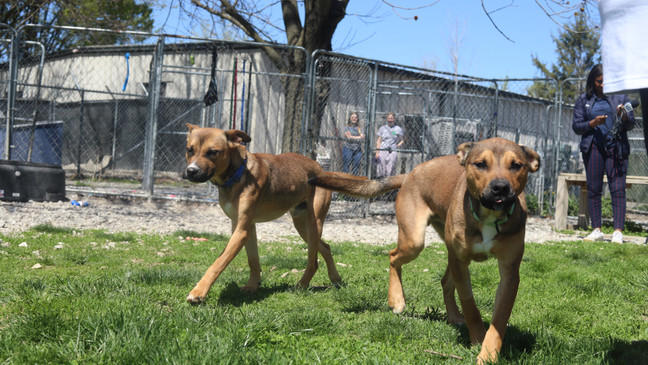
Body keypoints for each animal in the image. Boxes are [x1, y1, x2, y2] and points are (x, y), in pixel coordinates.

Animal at [182, 123, 364, 302]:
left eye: (213, 152)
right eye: (190, 150)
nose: (191, 171)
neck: (236, 174)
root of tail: (323, 171)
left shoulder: (241, 230)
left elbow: (218, 263)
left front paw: (198, 292)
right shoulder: (245, 227)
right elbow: (253, 260)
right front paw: (252, 286)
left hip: (314, 223)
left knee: (313, 262)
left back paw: (301, 285)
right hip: (301, 224)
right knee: (325, 247)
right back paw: (335, 278)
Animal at [312, 138, 540, 362]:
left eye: (516, 165)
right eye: (481, 164)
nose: (500, 187)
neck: (488, 216)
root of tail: (411, 173)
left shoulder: (509, 272)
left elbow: (499, 320)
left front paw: (488, 353)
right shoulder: (460, 261)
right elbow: (470, 305)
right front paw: (477, 338)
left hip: (447, 252)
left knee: (445, 281)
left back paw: (454, 316)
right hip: (415, 241)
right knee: (393, 256)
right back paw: (397, 300)